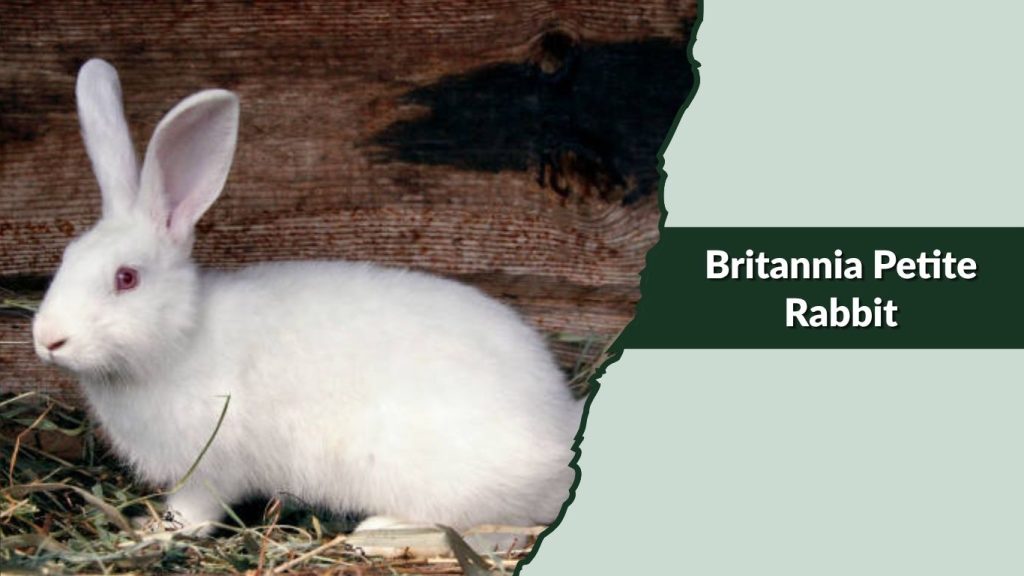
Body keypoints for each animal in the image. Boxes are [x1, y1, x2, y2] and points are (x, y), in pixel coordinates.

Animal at [31, 58, 584, 535]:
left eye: (126, 278)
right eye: (65, 257)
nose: (48, 340)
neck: (180, 339)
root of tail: (558, 431)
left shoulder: (212, 467)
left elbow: (196, 511)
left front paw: (156, 532)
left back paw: (377, 529)